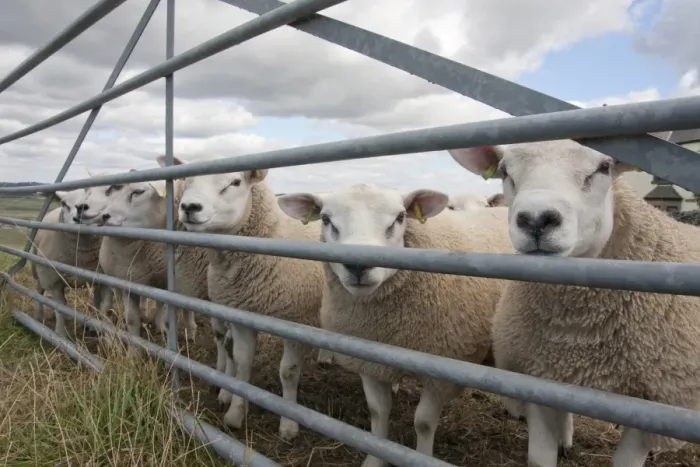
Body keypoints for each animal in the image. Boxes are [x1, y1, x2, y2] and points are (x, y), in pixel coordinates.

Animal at [31, 189, 113, 337]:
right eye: (64, 203)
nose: (77, 217)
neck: (81, 259)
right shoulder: (54, 279)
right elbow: (60, 306)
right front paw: (60, 333)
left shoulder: (106, 279)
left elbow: (105, 305)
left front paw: (104, 332)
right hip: (40, 269)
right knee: (39, 290)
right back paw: (38, 316)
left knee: (96, 297)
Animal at [177, 165, 325, 441]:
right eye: (187, 180)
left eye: (235, 182)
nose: (189, 207)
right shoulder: (243, 316)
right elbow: (242, 362)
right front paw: (235, 414)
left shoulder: (296, 321)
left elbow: (288, 372)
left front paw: (289, 424)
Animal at [277, 183, 513, 467]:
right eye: (325, 219)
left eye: (400, 217)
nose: (358, 264)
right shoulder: (369, 361)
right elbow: (378, 412)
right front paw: (374, 458)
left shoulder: (441, 369)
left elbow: (424, 422)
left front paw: (422, 457)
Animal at [448, 140, 700, 467]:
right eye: (504, 171)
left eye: (604, 167)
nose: (536, 219)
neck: (582, 332)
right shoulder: (538, 378)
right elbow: (539, 457)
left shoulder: (652, 404)